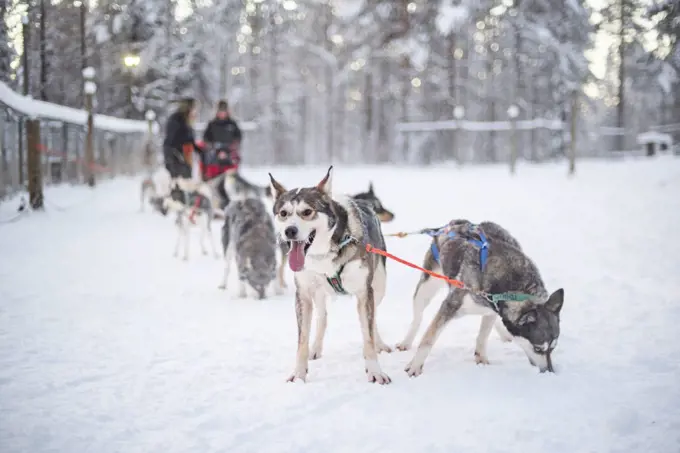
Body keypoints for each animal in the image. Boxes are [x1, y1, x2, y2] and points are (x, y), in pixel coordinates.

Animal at [266, 164, 394, 384]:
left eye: (307, 212)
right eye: (283, 213)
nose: (289, 231)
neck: (324, 254)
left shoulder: (364, 293)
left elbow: (368, 334)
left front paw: (375, 371)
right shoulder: (303, 295)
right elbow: (302, 340)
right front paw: (298, 374)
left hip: (379, 287)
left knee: (372, 320)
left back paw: (379, 344)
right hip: (318, 294)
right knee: (322, 318)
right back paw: (315, 348)